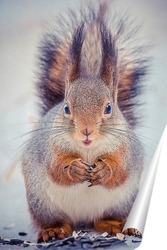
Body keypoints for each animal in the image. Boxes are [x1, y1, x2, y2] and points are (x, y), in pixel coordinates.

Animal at [20, 0, 147, 242]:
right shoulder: (51, 147)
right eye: (66, 108)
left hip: (123, 201)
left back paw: (115, 225)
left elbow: (120, 171)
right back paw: (54, 230)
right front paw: (74, 168)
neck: (88, 150)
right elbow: (56, 168)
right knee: (57, 221)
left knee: (104, 219)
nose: (86, 131)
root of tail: (83, 220)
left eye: (108, 108)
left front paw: (105, 170)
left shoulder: (125, 150)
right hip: (42, 203)